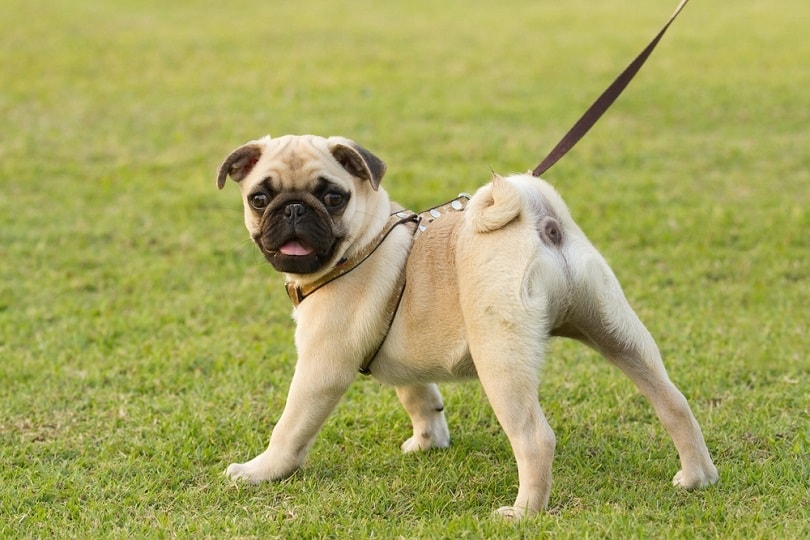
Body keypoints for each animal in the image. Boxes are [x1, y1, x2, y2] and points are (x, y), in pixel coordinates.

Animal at [215, 134, 712, 520]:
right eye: (260, 198)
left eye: (334, 197)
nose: (294, 209)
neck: (363, 241)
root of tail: (540, 222)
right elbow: (419, 397)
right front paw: (428, 440)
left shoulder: (322, 366)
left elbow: (291, 427)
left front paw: (261, 471)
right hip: (616, 329)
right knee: (673, 402)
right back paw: (698, 477)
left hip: (501, 358)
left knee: (535, 438)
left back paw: (524, 513)